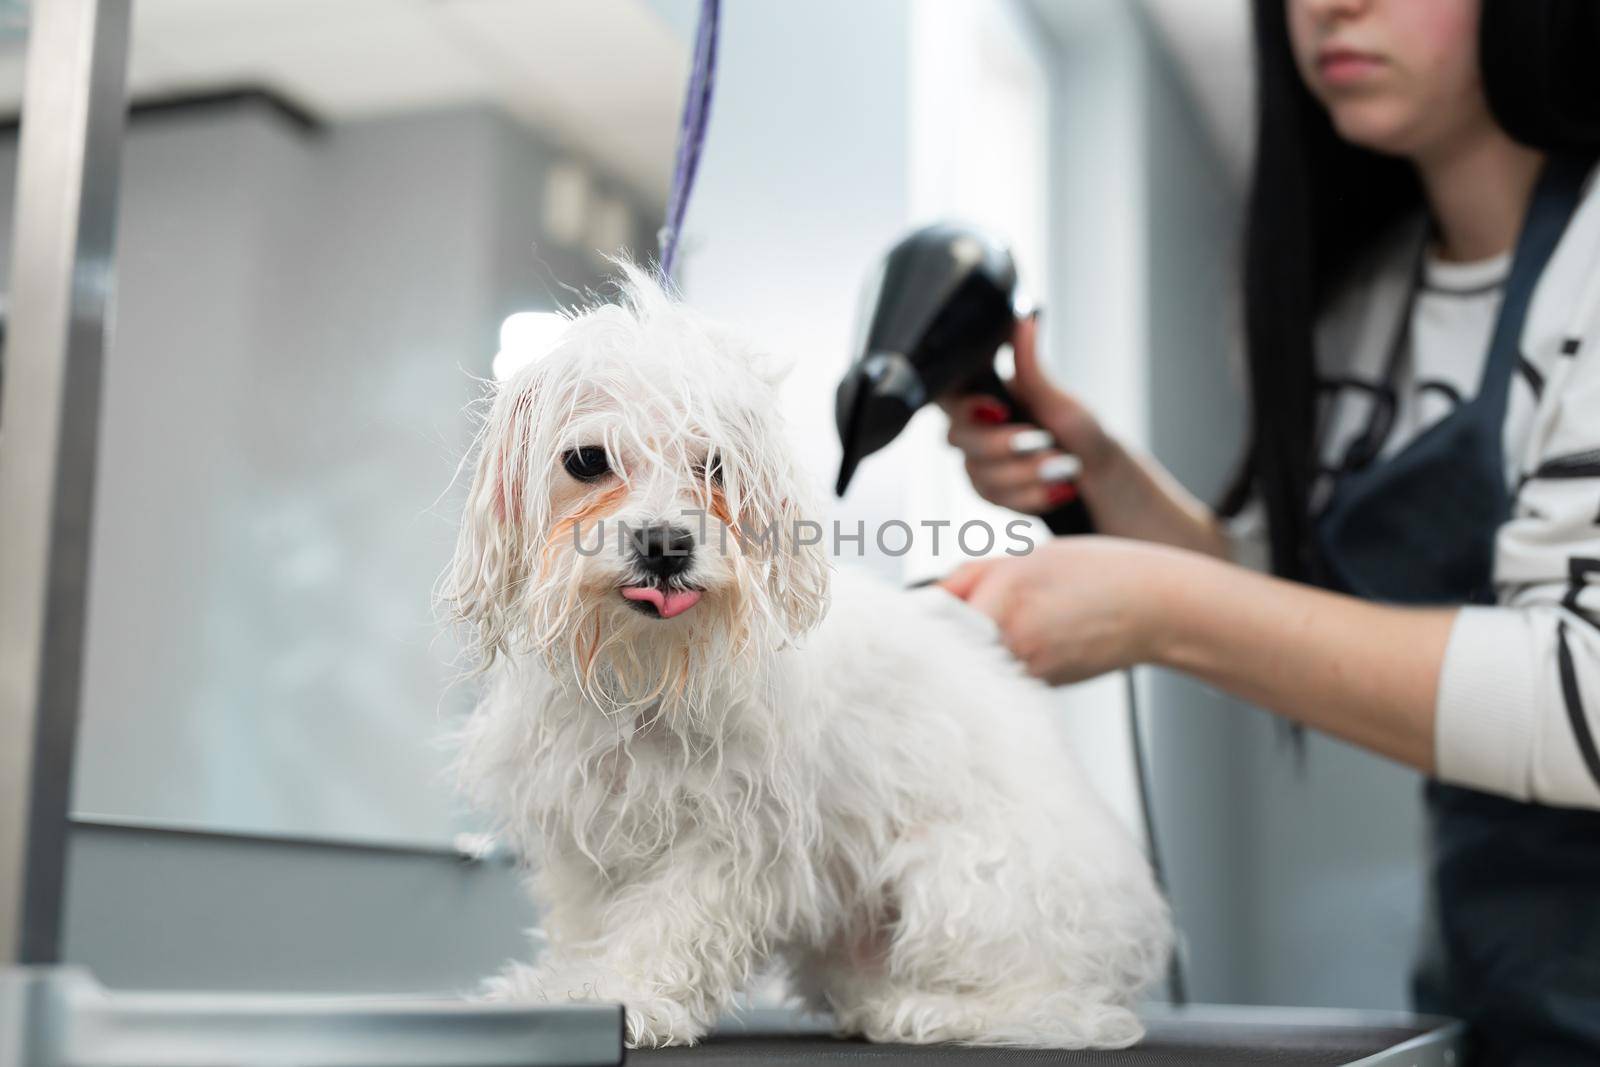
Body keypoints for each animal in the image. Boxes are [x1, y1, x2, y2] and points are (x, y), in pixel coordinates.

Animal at [451, 268, 1177, 1049]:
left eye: (716, 465)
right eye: (587, 461)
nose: (666, 544)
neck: (651, 673)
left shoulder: (739, 839)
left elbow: (669, 924)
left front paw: (629, 997)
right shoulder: (586, 831)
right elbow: (588, 923)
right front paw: (564, 986)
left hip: (962, 881)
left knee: (1065, 1006)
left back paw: (926, 1009)